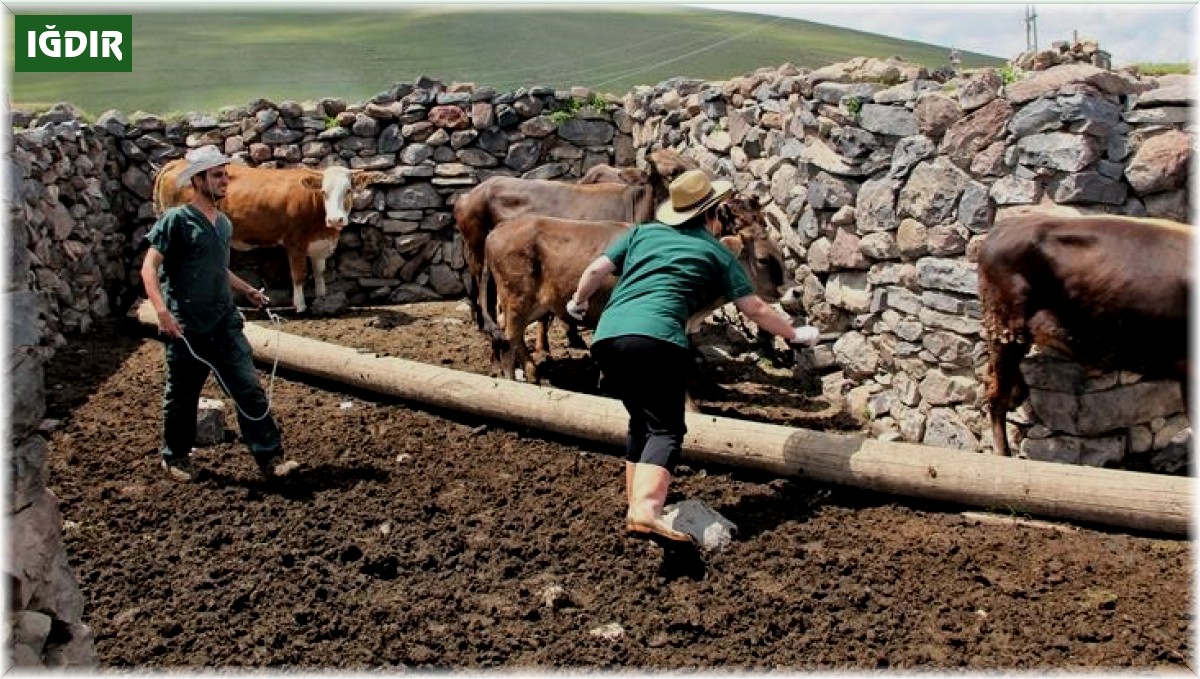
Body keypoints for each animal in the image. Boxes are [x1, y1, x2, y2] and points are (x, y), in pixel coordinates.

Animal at [151, 159, 384, 314]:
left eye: (348, 191)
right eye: (324, 192)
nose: (336, 219)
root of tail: (177, 161)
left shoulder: (318, 244)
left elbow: (319, 272)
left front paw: (322, 298)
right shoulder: (295, 241)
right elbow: (298, 274)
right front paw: (300, 306)